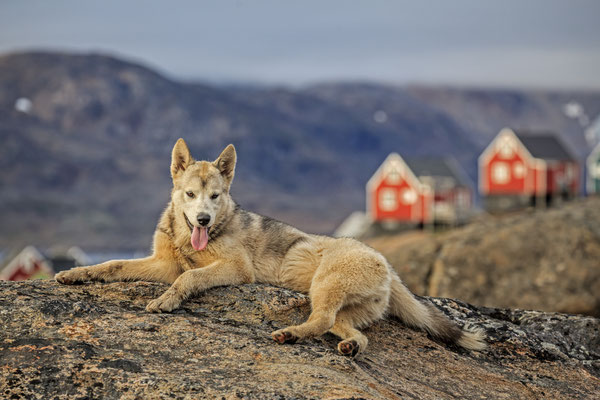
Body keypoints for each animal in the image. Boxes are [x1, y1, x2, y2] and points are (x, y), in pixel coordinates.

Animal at [56, 141, 486, 356]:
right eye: (190, 194)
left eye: (215, 196)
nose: (203, 220)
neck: (187, 237)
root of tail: (385, 263)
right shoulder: (163, 264)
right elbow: (113, 264)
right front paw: (76, 274)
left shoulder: (234, 269)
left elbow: (190, 278)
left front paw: (168, 301)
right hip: (343, 307)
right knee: (351, 334)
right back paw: (346, 345)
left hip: (323, 287)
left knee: (321, 321)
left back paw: (290, 334)